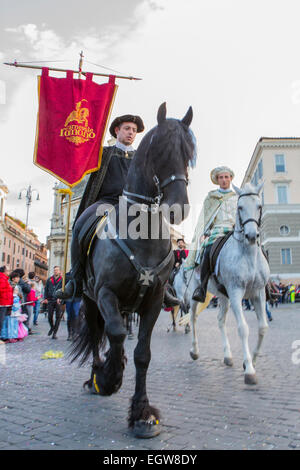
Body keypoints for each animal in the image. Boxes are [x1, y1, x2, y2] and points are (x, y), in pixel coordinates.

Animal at [71, 102, 196, 436]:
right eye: (158, 149)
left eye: (189, 152)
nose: (177, 206)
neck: (142, 235)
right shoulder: (105, 294)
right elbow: (114, 334)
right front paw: (110, 377)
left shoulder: (153, 301)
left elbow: (143, 354)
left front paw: (141, 413)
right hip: (88, 301)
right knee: (98, 335)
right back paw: (97, 375)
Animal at [173, 182, 270, 384]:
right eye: (240, 207)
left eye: (259, 205)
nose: (251, 235)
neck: (247, 255)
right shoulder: (236, 292)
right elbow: (243, 328)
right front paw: (249, 370)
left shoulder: (258, 294)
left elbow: (263, 327)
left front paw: (251, 361)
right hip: (194, 295)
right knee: (192, 318)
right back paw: (194, 350)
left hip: (223, 297)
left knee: (220, 321)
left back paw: (227, 356)